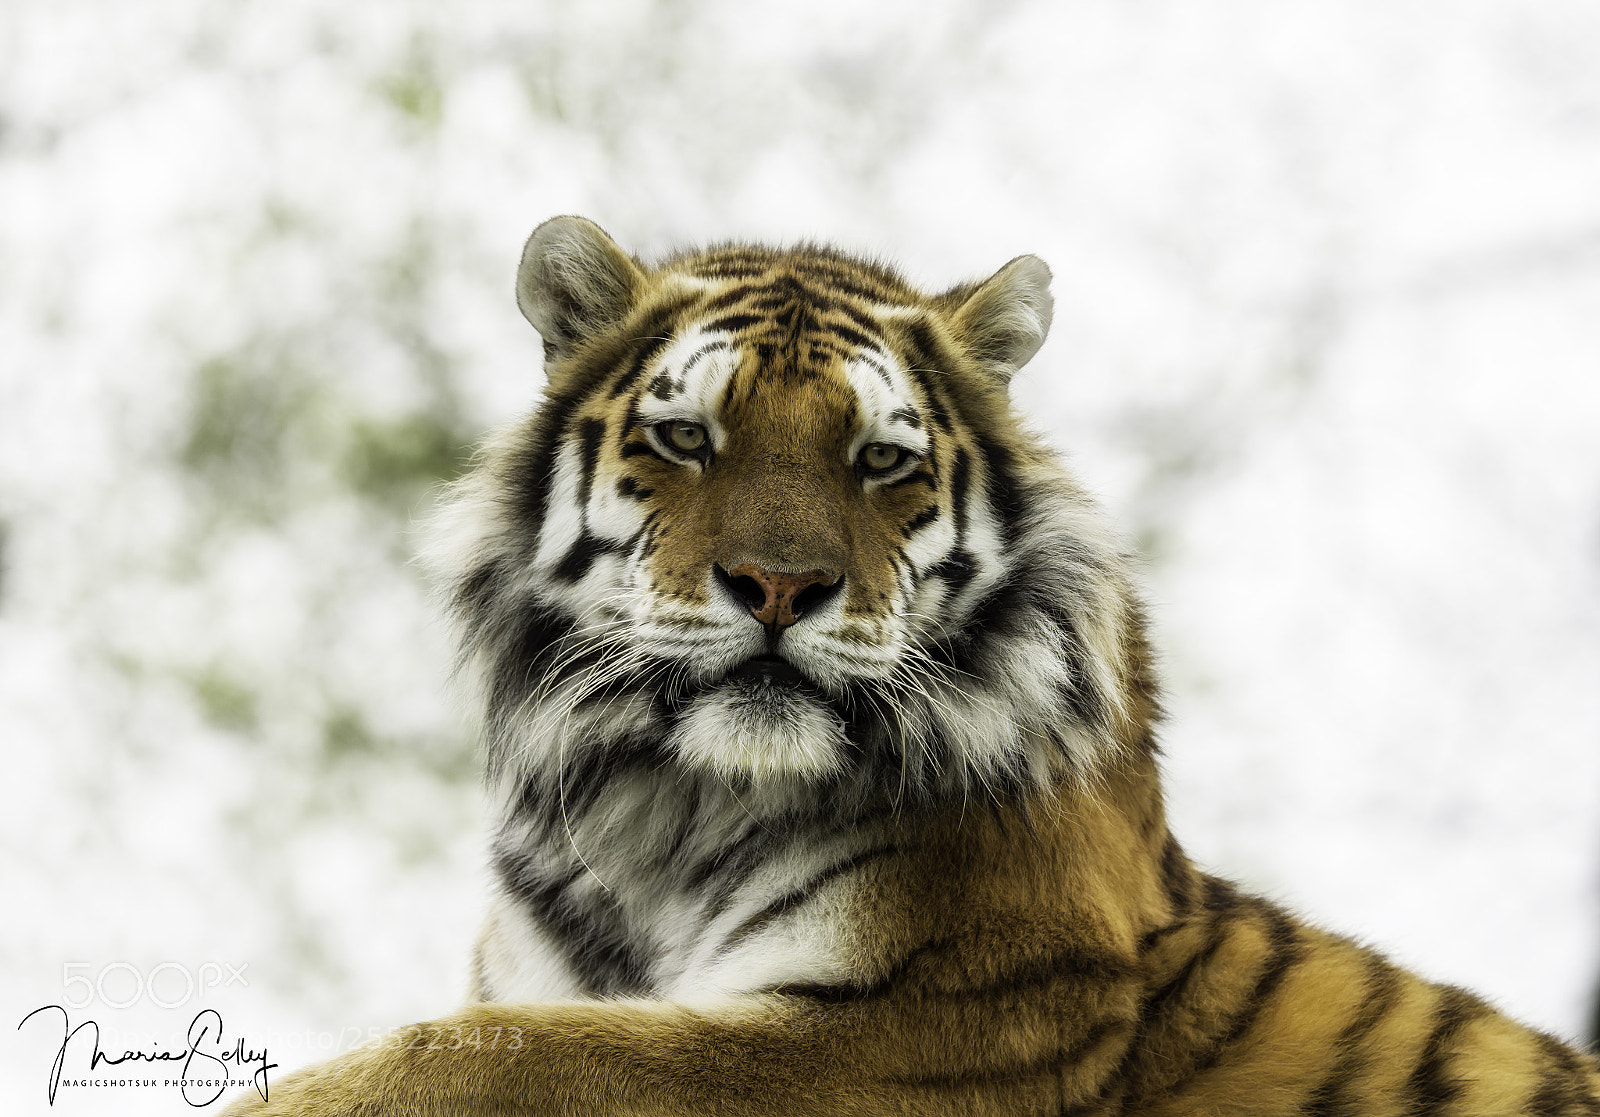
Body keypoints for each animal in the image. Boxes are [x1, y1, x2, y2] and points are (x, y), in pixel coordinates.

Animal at [224, 216, 1600, 1116]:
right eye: (687, 437)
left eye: (880, 459)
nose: (780, 586)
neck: (659, 816)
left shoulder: (921, 1022)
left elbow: (484, 1053)